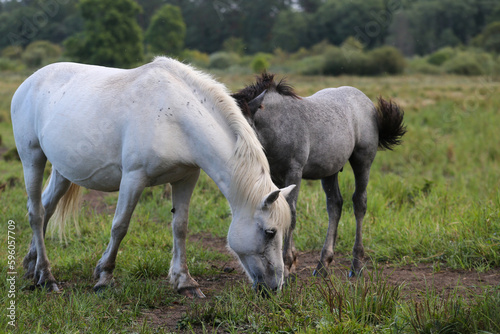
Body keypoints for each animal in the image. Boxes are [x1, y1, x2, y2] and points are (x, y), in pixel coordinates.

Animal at [11, 57, 294, 298]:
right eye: (270, 232)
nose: (276, 287)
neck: (174, 116)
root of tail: (28, 83)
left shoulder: (186, 178)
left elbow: (180, 227)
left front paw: (185, 282)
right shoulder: (133, 178)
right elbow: (120, 226)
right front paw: (104, 277)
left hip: (62, 171)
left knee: (46, 207)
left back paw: (31, 265)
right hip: (32, 158)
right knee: (36, 213)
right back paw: (46, 276)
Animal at [231, 73, 406, 280]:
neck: (278, 126)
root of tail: (366, 101)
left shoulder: (294, 172)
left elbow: (291, 212)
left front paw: (288, 264)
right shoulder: (273, 177)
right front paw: (291, 262)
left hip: (362, 161)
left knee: (359, 203)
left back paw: (356, 265)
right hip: (329, 170)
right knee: (335, 205)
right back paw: (323, 264)